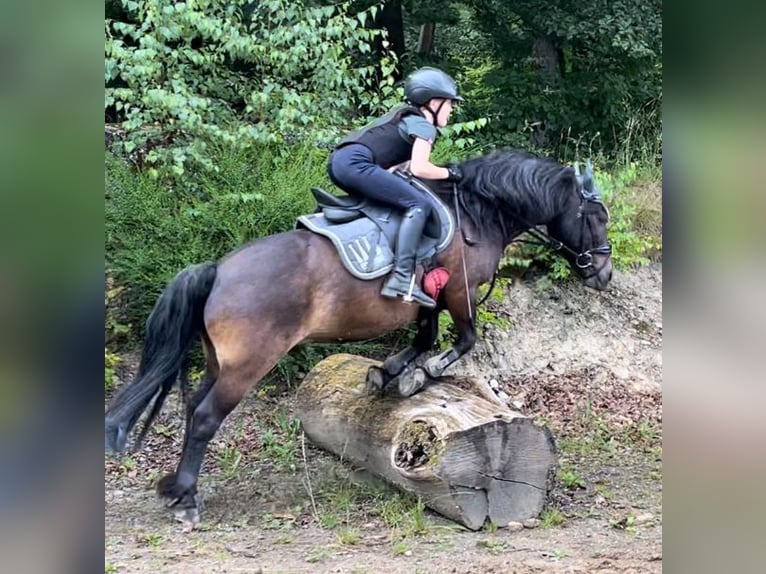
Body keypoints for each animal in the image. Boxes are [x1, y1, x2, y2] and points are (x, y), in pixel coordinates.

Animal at [104, 149, 612, 527]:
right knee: (207, 417)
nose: (604, 275)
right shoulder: (458, 293)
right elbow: (463, 339)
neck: (479, 213)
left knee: (194, 408)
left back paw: (174, 488)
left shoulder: (429, 299)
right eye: (597, 216)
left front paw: (393, 374)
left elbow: (425, 338)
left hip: (218, 361)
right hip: (248, 364)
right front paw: (418, 375)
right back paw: (186, 500)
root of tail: (219, 270)